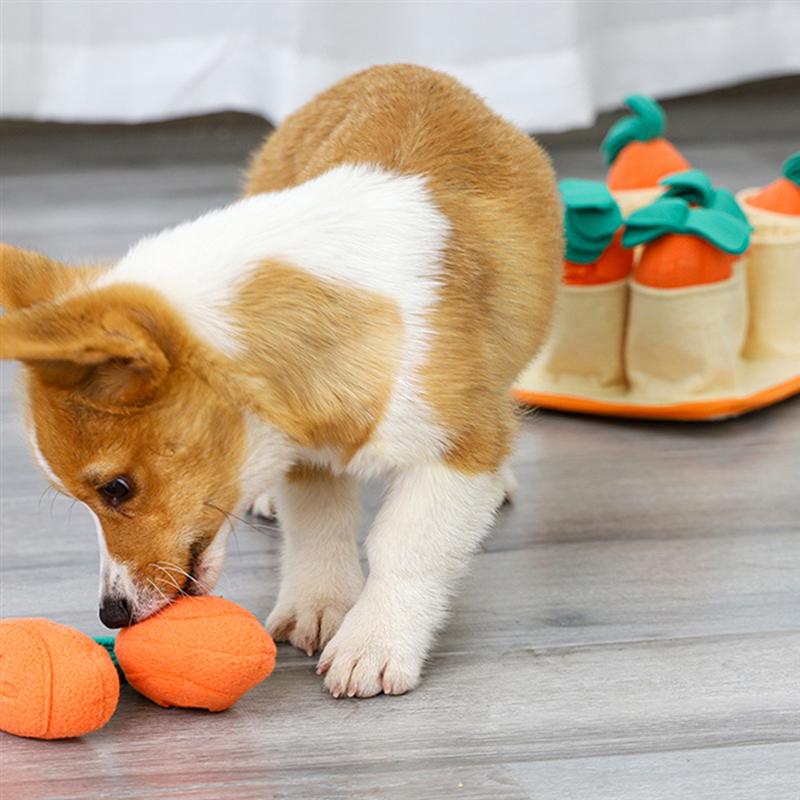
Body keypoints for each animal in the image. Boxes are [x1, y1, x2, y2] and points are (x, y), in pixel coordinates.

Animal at [1, 65, 564, 696]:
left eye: (117, 489)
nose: (111, 614)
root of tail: (400, 68)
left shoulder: (455, 453)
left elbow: (405, 549)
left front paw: (373, 643)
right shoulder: (305, 451)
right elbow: (319, 528)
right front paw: (319, 607)